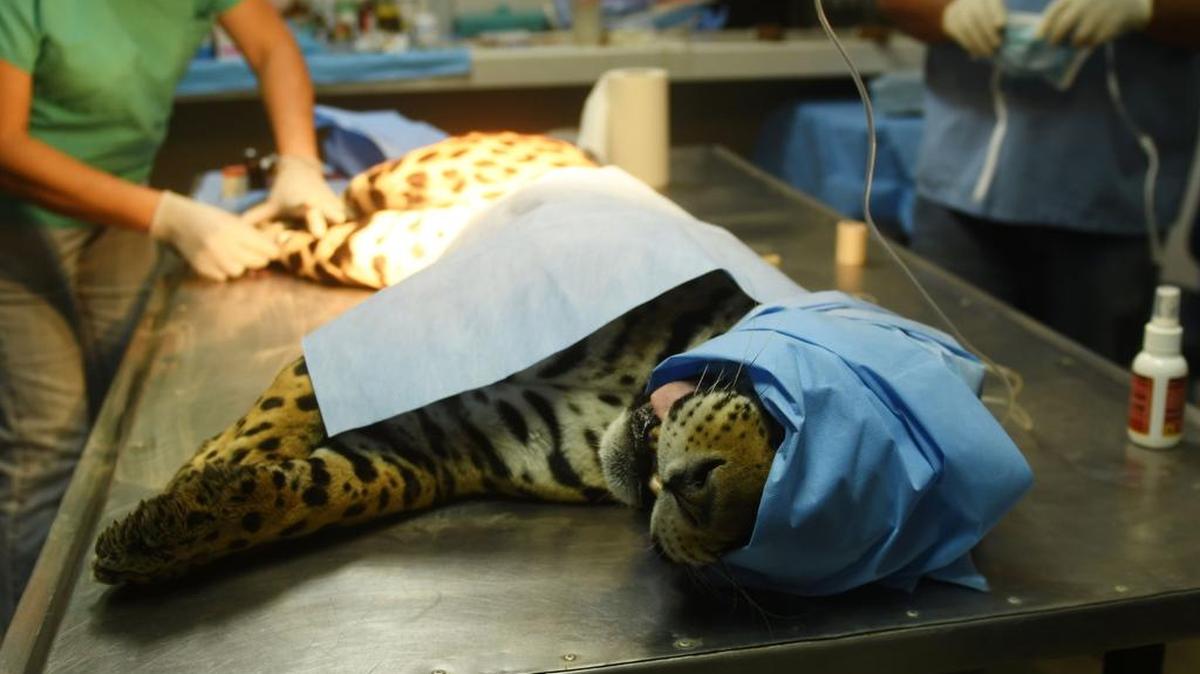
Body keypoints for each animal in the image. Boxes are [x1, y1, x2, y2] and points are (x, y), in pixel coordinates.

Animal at [92, 271, 781, 584]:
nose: (704, 499)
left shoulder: (443, 440)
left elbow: (330, 489)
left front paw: (154, 539)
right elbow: (299, 391)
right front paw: (219, 458)